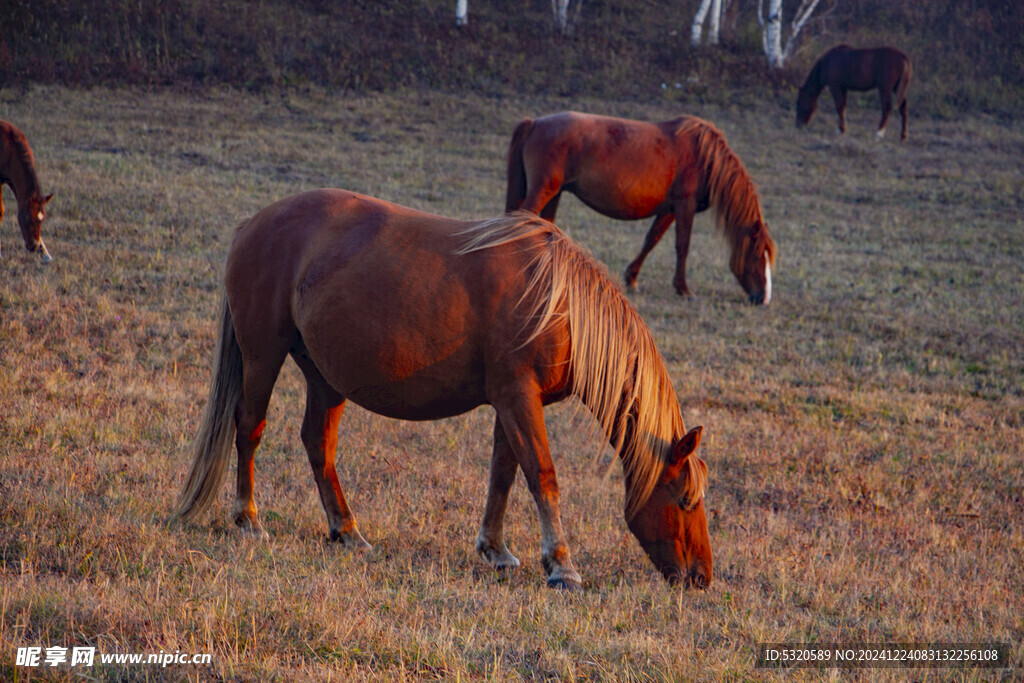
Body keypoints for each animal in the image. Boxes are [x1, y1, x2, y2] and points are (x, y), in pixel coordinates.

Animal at [169, 189, 712, 589]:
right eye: (686, 500)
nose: (701, 577)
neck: (557, 302)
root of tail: (254, 224)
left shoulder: (511, 403)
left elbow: (503, 474)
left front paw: (496, 549)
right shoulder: (518, 398)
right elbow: (542, 476)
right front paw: (561, 564)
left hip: (325, 377)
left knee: (317, 445)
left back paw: (347, 531)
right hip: (264, 356)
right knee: (250, 428)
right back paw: (249, 518)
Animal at [503, 111, 774, 305]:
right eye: (757, 255)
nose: (764, 299)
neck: (704, 157)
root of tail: (534, 123)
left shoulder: (669, 210)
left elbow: (651, 240)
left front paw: (632, 279)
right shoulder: (684, 206)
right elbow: (683, 246)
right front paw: (683, 289)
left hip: (555, 194)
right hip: (544, 191)